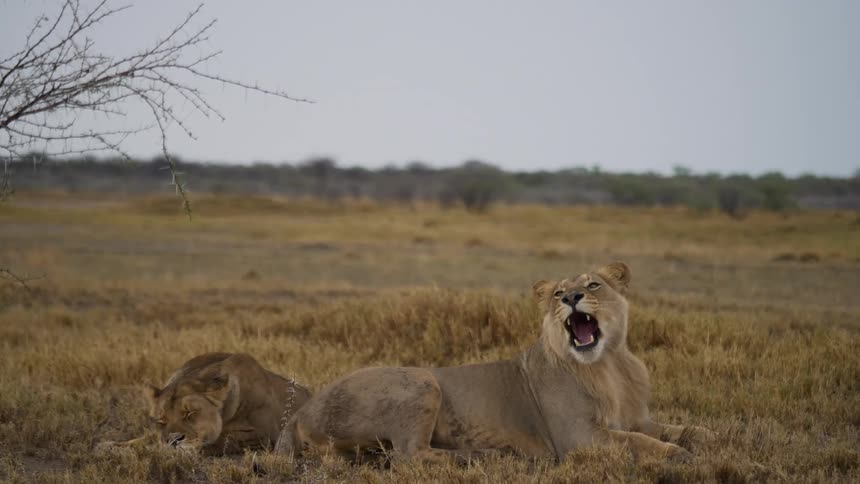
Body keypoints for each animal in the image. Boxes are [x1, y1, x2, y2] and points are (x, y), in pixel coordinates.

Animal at [99, 352, 311, 455]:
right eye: (161, 420)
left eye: (190, 414)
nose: (172, 440)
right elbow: (147, 437)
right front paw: (109, 445)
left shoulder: (265, 435)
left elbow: (224, 440)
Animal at [275, 262, 712, 463]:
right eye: (558, 293)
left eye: (592, 285)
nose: (572, 298)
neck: (609, 367)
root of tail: (299, 412)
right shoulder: (577, 437)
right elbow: (638, 441)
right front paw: (678, 456)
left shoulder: (637, 416)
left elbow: (678, 428)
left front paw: (705, 438)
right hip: (421, 381)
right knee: (410, 455)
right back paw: (486, 456)